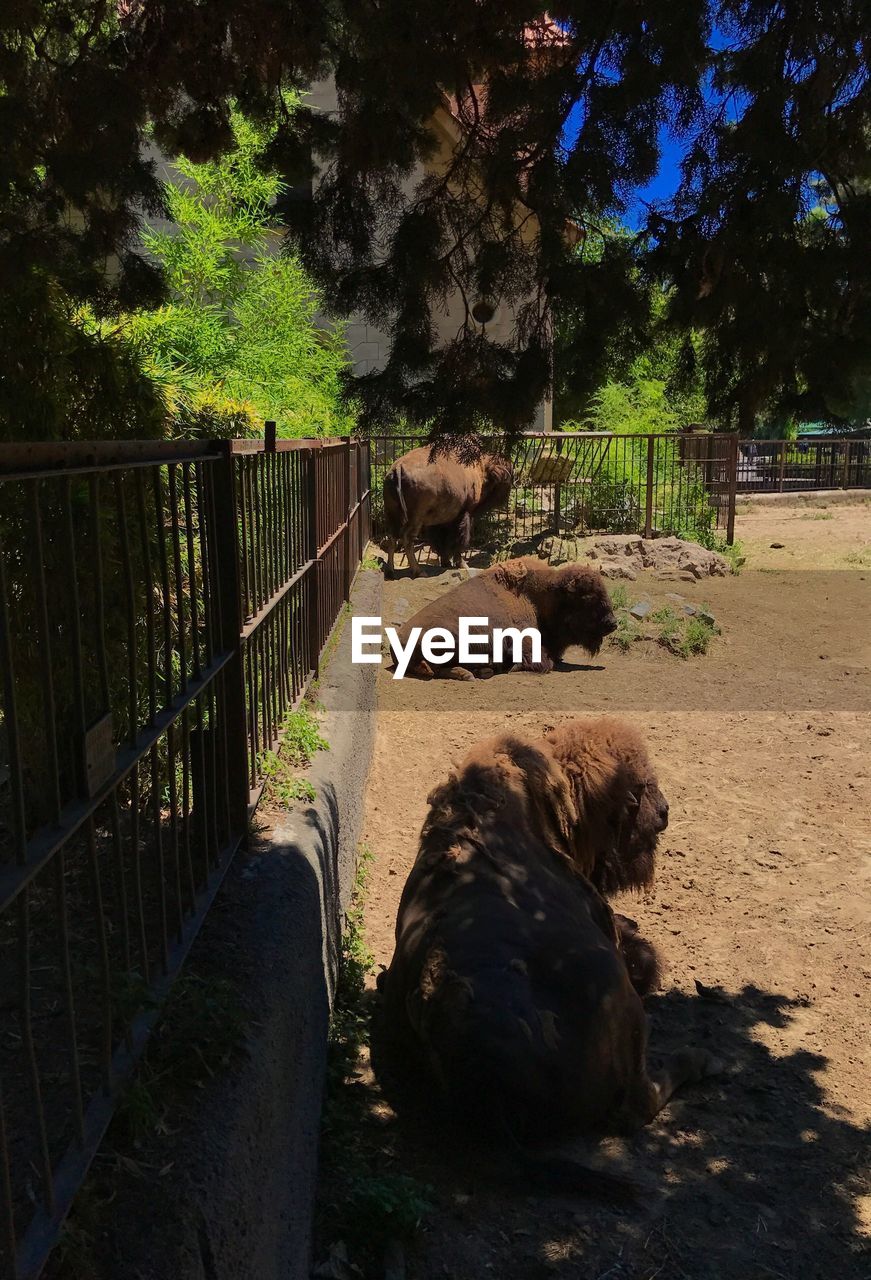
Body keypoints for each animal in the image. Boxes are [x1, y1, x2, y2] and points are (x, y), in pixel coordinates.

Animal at [381, 442, 509, 578]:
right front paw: (462, 564)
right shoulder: (464, 514)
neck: (481, 467)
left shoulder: (440, 520)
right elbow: (459, 540)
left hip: (392, 513)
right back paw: (419, 571)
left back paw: (390, 572)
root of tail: (398, 468)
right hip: (415, 517)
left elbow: (441, 542)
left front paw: (446, 562)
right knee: (407, 538)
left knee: (392, 538)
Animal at [394, 560, 619, 680]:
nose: (613, 623)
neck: (542, 596)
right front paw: (513, 667)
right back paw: (474, 673)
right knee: (438, 668)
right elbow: (544, 663)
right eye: (588, 598)